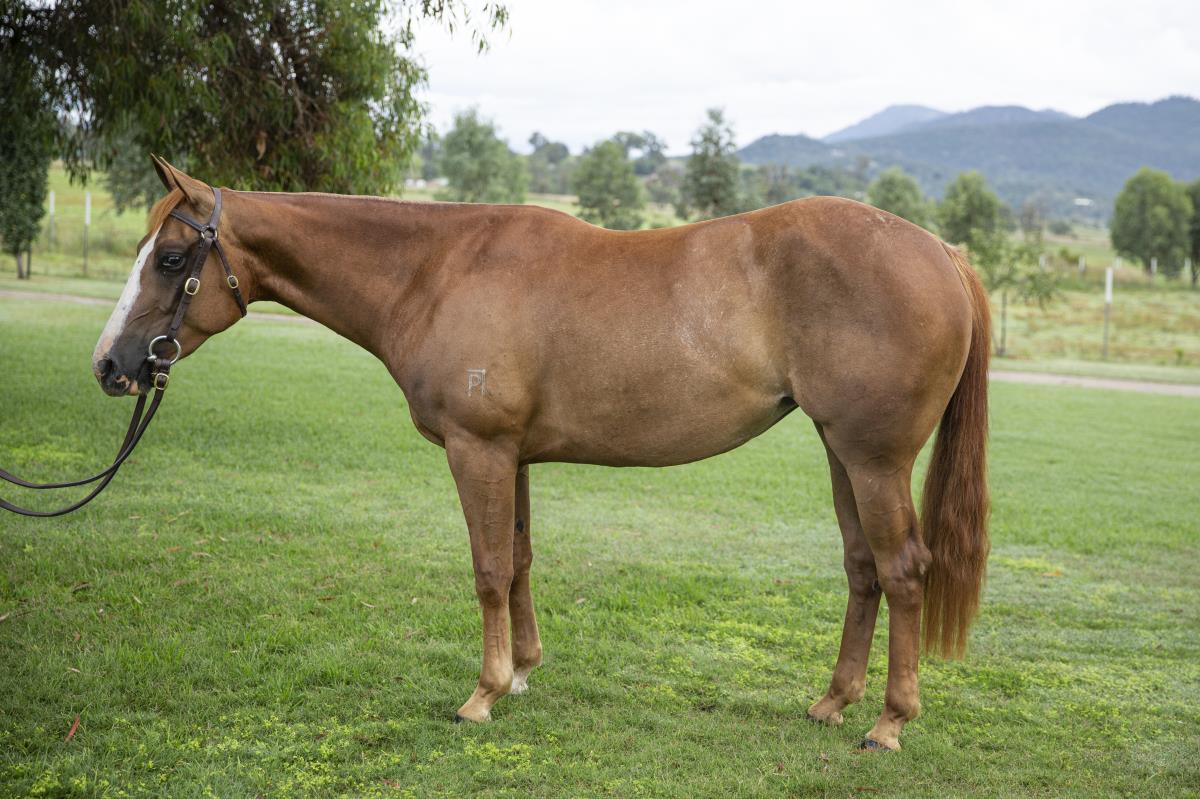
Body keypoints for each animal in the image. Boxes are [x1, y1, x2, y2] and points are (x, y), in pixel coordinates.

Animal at [92, 156, 990, 751]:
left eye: (170, 258)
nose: (111, 365)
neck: (437, 270)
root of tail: (941, 252)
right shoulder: (513, 457)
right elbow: (520, 559)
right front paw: (521, 671)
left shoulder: (478, 450)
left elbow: (489, 568)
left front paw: (482, 694)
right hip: (841, 452)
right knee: (863, 568)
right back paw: (832, 703)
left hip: (874, 458)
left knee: (903, 569)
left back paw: (888, 722)